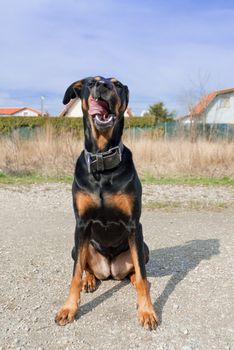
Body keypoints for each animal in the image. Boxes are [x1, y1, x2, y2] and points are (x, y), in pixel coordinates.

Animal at [54, 75, 157, 330]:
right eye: (91, 83)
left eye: (118, 84)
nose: (103, 87)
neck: (102, 161)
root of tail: (110, 271)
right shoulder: (81, 224)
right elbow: (74, 274)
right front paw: (68, 309)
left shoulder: (134, 224)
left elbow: (143, 275)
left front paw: (147, 311)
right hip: (77, 247)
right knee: (84, 266)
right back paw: (90, 280)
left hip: (143, 246)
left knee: (137, 271)